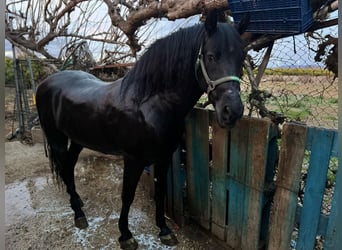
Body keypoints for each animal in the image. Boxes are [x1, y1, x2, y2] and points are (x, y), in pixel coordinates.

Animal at [34, 9, 248, 248]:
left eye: (242, 58)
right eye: (211, 56)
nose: (232, 111)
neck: (149, 103)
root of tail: (45, 83)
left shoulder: (164, 157)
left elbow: (161, 192)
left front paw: (164, 230)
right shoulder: (133, 160)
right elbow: (127, 195)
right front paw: (125, 235)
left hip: (78, 139)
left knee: (69, 167)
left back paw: (77, 202)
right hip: (57, 139)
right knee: (64, 168)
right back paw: (79, 215)